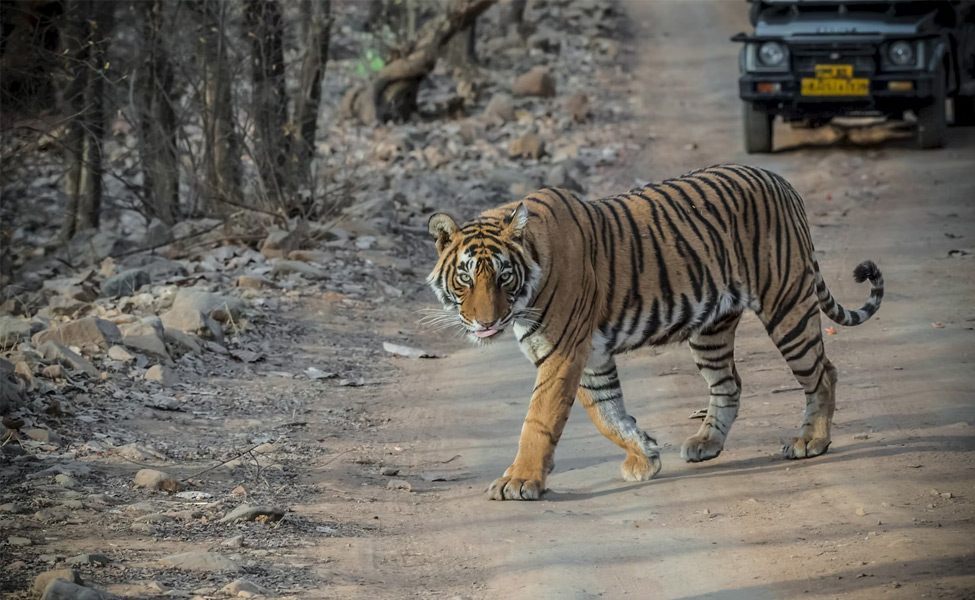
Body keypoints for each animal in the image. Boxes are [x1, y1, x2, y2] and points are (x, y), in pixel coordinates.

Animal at [428, 164, 884, 502]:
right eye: (466, 277)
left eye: (503, 276)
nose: (485, 323)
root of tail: (781, 181)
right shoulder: (590, 357)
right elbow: (607, 413)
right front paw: (644, 455)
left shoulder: (562, 353)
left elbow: (539, 419)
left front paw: (520, 481)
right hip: (711, 329)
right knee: (729, 384)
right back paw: (706, 443)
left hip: (787, 305)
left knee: (823, 373)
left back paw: (811, 441)